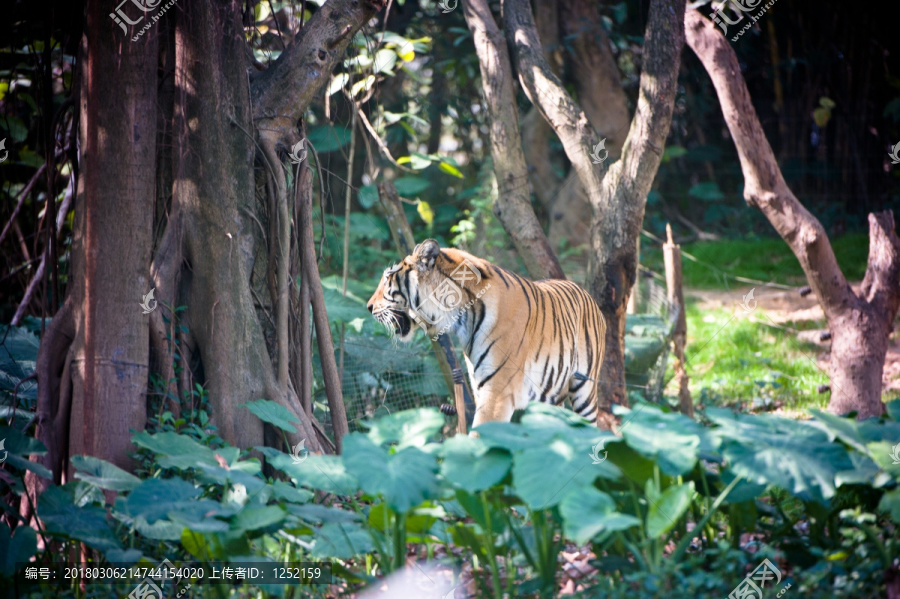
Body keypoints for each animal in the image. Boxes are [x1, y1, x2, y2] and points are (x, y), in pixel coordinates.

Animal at [368, 237, 612, 428]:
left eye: (387, 278)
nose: (369, 307)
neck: (461, 318)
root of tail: (584, 291)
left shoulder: (498, 392)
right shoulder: (480, 388)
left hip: (584, 390)